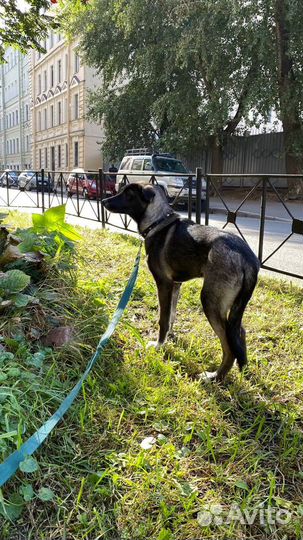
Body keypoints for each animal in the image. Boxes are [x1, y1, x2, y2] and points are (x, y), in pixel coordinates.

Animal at [103, 184, 260, 382]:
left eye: (127, 194)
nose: (103, 201)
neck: (158, 221)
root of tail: (247, 258)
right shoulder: (176, 285)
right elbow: (171, 315)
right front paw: (169, 337)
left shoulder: (164, 284)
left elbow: (163, 318)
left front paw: (159, 345)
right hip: (233, 307)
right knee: (239, 332)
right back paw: (243, 368)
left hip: (210, 302)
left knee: (229, 346)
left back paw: (214, 377)